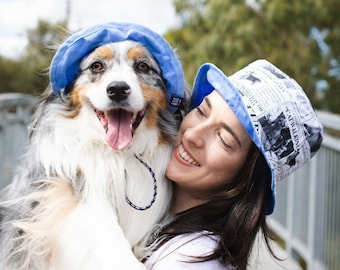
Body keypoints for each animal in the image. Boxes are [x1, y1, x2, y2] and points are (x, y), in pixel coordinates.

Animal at [0, 23, 186, 270]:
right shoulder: (77, 200)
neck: (119, 155)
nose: (118, 89)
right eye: (97, 66)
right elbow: (110, 238)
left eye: (143, 66)